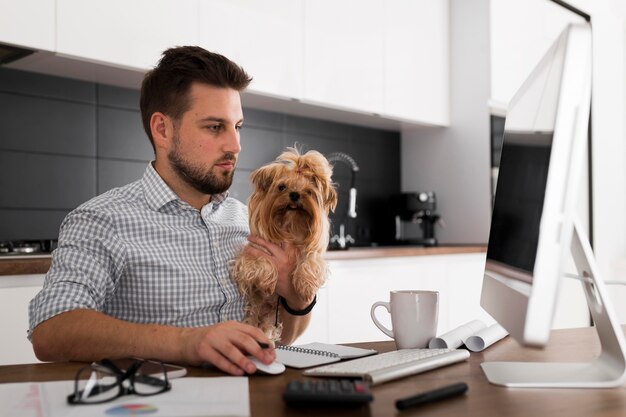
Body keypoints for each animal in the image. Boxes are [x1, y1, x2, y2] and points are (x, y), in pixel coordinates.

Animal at [230, 148, 336, 340]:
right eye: (281, 187)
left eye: (308, 191)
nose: (294, 194)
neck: (290, 226)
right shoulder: (251, 254)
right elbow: (258, 263)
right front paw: (267, 280)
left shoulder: (312, 252)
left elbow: (312, 261)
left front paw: (305, 285)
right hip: (255, 307)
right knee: (253, 317)